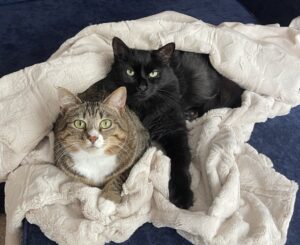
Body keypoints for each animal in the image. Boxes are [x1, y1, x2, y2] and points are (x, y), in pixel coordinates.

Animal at [81, 37, 245, 210]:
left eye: (154, 73)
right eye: (129, 72)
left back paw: (192, 113)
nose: (143, 87)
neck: (143, 107)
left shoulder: (174, 131)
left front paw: (183, 196)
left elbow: (180, 163)